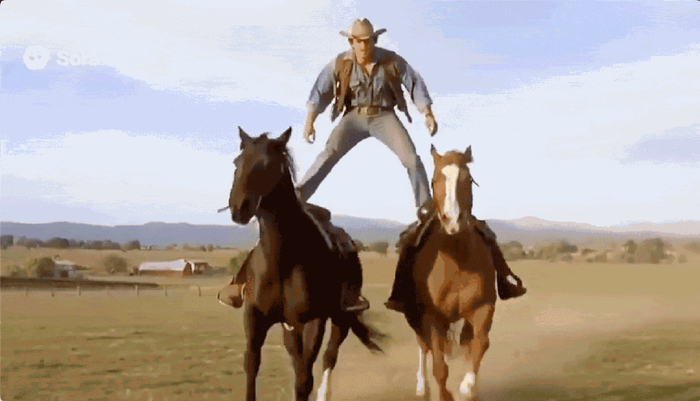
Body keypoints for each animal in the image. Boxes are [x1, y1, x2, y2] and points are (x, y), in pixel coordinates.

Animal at [227, 127, 383, 401]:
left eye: (268, 164)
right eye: (237, 162)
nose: (239, 207)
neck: (282, 258)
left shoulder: (313, 321)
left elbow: (304, 379)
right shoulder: (255, 316)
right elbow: (252, 366)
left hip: (340, 318)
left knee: (329, 357)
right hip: (290, 327)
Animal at [403, 145, 497, 401]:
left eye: (468, 178)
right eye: (435, 180)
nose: (453, 220)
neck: (457, 257)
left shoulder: (482, 307)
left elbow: (479, 344)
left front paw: (469, 387)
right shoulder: (432, 317)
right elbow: (438, 366)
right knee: (422, 346)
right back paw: (421, 387)